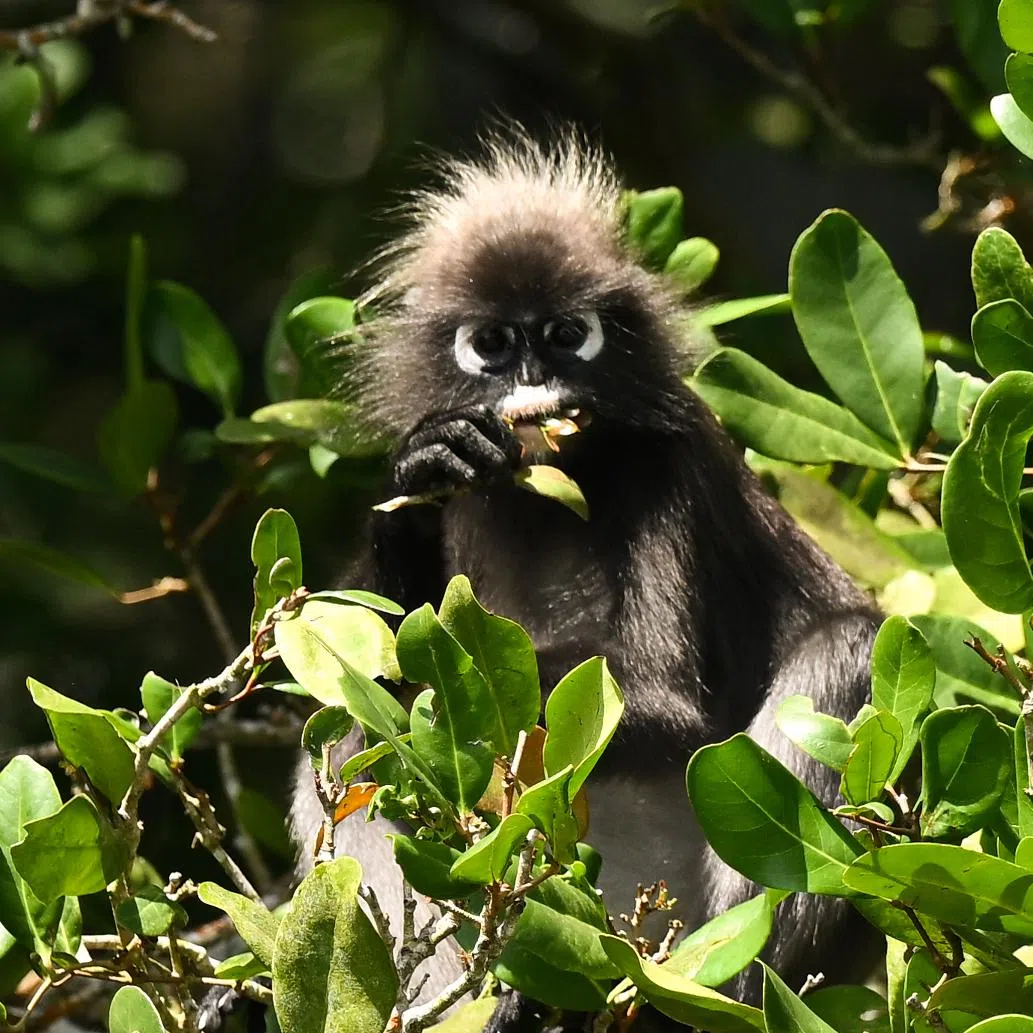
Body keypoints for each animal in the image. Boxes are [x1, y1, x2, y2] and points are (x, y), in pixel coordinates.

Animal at [289, 130, 882, 1030]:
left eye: (568, 334)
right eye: (494, 344)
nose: (537, 377)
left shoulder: (671, 465)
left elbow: (662, 701)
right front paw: (424, 478)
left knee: (848, 644)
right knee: (351, 737)